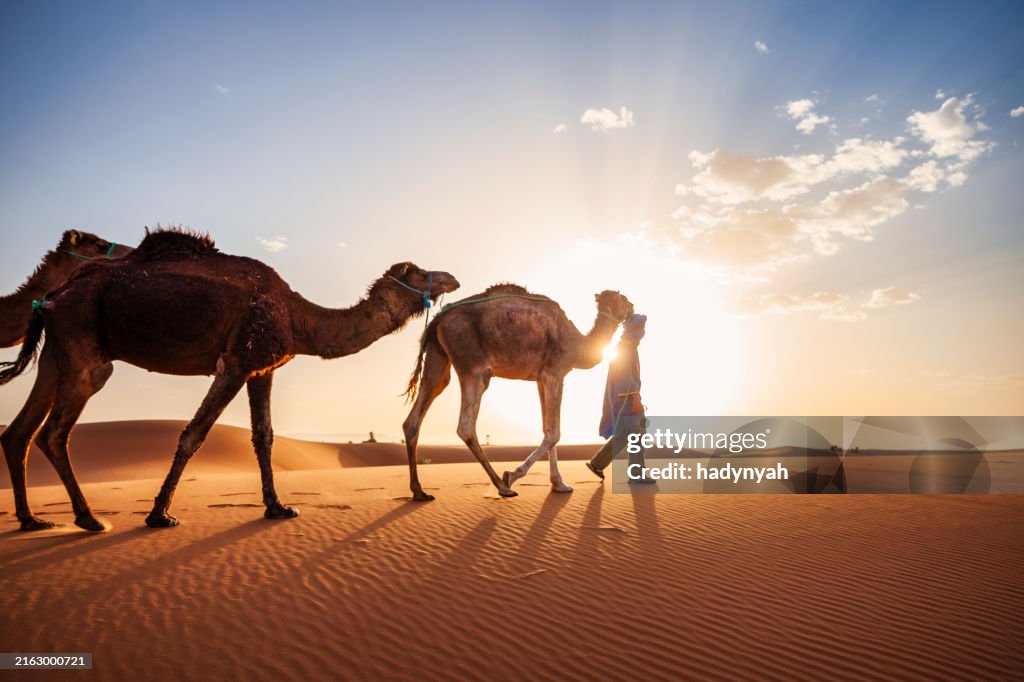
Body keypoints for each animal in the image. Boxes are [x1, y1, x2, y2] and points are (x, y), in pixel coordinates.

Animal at [402, 285, 633, 500]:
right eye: (623, 298)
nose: (632, 308)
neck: (578, 343)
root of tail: (437, 321)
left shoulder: (541, 378)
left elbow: (547, 429)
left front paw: (559, 484)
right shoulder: (555, 373)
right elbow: (554, 433)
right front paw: (512, 475)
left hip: (438, 356)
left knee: (417, 412)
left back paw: (419, 491)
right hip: (472, 364)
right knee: (465, 426)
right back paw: (502, 485)